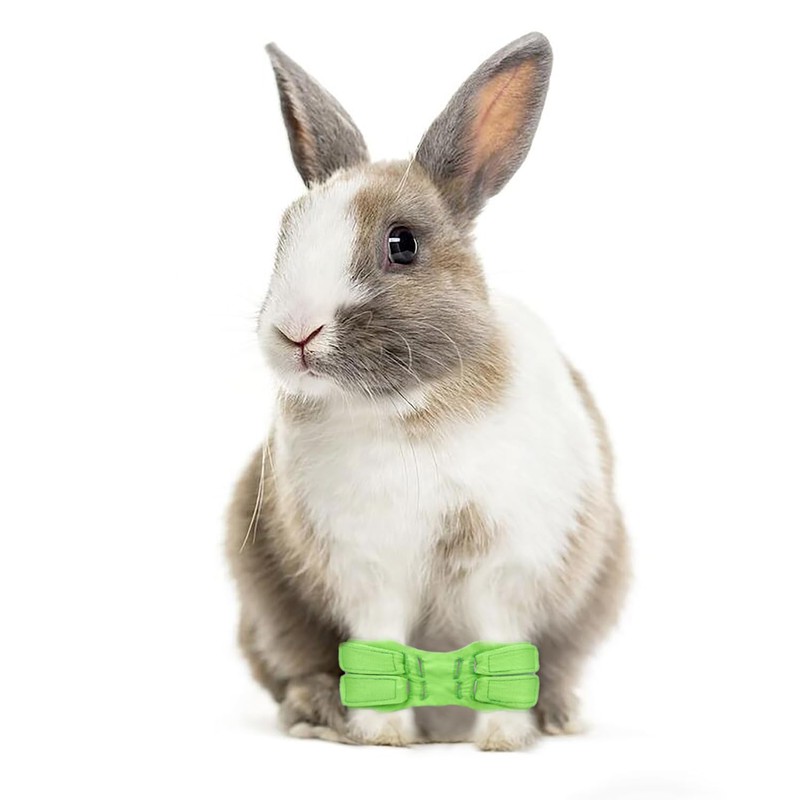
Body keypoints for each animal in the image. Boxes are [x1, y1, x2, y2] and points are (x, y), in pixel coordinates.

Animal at [226, 32, 630, 751]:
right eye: (284, 235)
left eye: (402, 244)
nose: (295, 331)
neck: (409, 411)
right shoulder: (366, 568)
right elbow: (379, 652)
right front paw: (383, 736)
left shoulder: (508, 566)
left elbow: (501, 651)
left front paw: (503, 738)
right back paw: (315, 715)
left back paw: (560, 716)